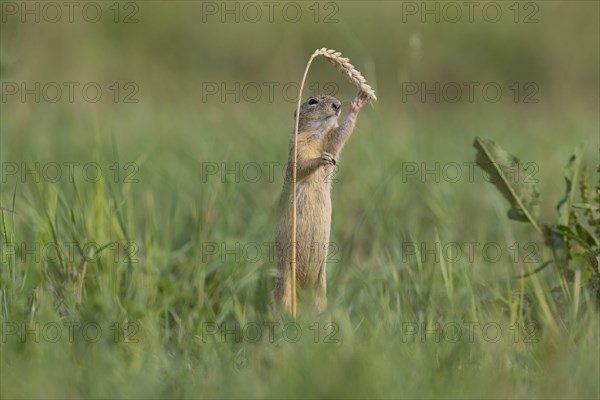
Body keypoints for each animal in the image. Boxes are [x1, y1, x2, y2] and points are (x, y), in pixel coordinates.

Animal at [274, 92, 368, 314]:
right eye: (312, 101)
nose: (338, 105)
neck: (316, 136)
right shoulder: (297, 148)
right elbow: (301, 165)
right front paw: (320, 159)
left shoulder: (329, 142)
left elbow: (339, 137)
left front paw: (357, 104)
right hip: (284, 282)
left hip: (319, 286)